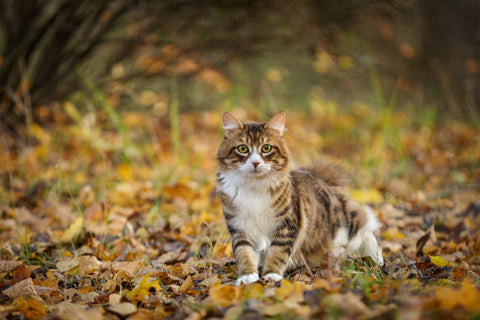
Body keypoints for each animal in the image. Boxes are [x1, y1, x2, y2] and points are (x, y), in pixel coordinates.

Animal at [216, 112, 384, 284]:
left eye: (266, 148)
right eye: (243, 149)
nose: (255, 162)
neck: (254, 187)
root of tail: (317, 176)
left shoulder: (286, 225)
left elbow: (278, 252)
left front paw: (272, 275)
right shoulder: (240, 227)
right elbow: (244, 253)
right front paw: (247, 277)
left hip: (344, 227)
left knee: (365, 224)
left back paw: (377, 259)